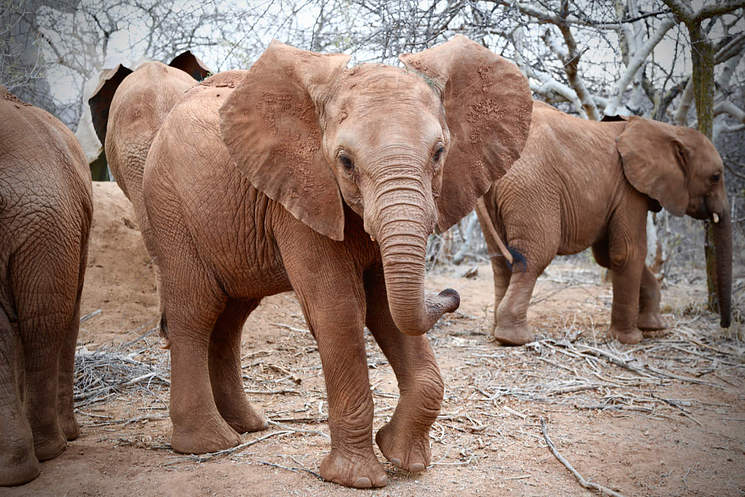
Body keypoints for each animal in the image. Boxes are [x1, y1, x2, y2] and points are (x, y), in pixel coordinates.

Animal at [142, 37, 532, 488]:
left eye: (439, 153)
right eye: (344, 161)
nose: (451, 293)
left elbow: (386, 307)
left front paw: (403, 457)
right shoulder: (302, 195)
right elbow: (341, 311)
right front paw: (356, 479)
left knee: (232, 315)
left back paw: (248, 426)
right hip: (169, 208)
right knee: (197, 310)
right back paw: (209, 444)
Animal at [476, 101, 732, 346]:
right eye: (715, 177)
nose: (724, 325)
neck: (664, 129)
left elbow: (607, 257)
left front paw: (653, 327)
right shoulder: (629, 190)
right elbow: (628, 252)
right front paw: (630, 339)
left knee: (500, 260)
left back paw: (496, 333)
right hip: (531, 187)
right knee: (535, 255)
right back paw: (515, 339)